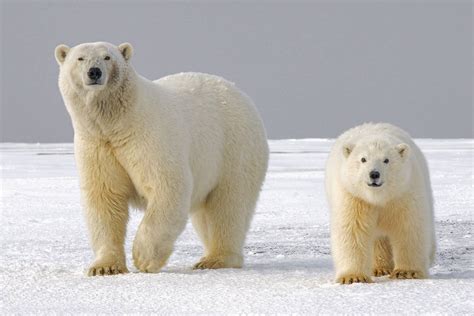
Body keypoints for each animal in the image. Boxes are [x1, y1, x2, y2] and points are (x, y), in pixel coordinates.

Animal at [54, 40, 268, 276]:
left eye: (107, 57)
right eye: (80, 58)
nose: (94, 72)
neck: (118, 123)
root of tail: (239, 92)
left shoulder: (148, 137)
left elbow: (167, 186)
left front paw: (144, 258)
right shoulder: (96, 145)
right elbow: (105, 198)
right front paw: (104, 267)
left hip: (234, 148)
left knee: (228, 205)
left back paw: (216, 259)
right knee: (206, 214)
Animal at [324, 123, 436, 284]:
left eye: (386, 160)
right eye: (363, 159)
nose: (374, 174)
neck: (379, 198)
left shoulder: (403, 193)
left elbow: (408, 227)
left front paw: (406, 272)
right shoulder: (353, 197)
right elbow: (352, 230)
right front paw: (353, 277)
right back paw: (380, 268)